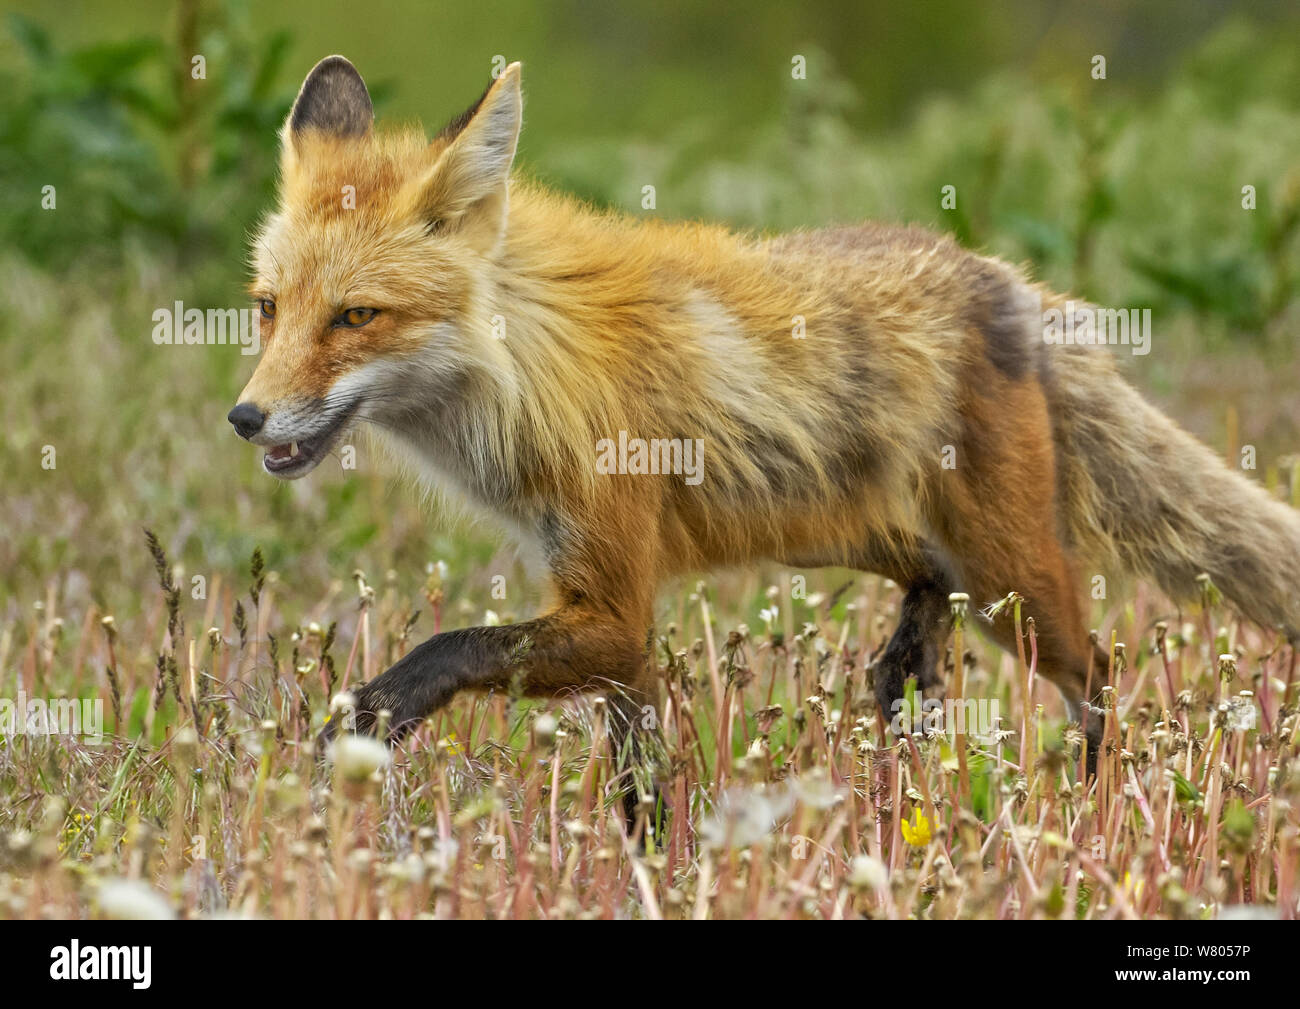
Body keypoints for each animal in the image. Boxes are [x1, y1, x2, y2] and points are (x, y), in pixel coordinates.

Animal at [231, 55, 1300, 811]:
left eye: (356, 318)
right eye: (268, 308)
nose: (245, 418)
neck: (530, 366)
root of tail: (1004, 278)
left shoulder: (610, 607)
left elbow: (443, 649)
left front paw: (362, 723)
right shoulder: (610, 620)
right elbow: (640, 785)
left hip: (1015, 581)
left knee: (1101, 678)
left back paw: (1093, 813)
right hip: (851, 533)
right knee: (926, 608)